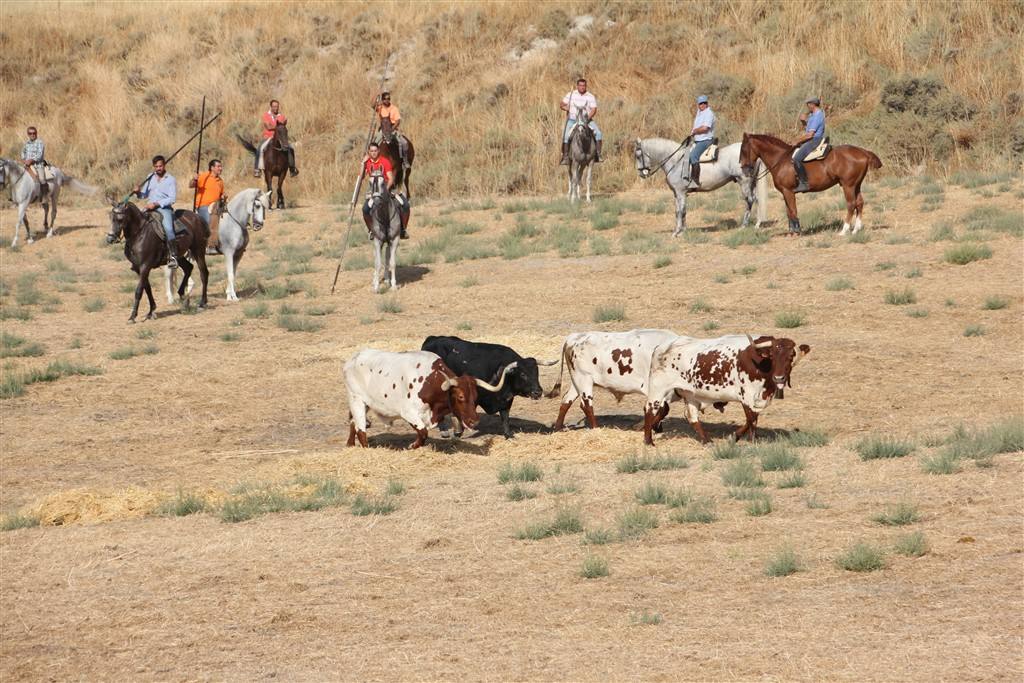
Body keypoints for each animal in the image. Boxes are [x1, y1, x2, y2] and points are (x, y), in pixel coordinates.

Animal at [630, 136, 770, 237]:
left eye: (638, 155)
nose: (641, 174)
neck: (676, 160)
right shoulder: (677, 193)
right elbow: (680, 211)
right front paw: (681, 230)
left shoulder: (680, 192)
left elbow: (681, 211)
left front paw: (677, 232)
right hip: (751, 182)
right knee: (756, 199)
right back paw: (757, 224)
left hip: (744, 182)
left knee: (750, 200)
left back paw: (744, 226)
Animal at [741, 132, 884, 236]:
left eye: (743, 149)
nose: (744, 169)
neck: (781, 159)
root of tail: (863, 152)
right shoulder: (785, 192)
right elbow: (788, 212)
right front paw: (791, 231)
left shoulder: (788, 191)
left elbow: (793, 210)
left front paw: (797, 231)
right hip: (856, 185)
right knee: (859, 203)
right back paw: (856, 229)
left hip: (848, 186)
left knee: (851, 204)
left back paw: (844, 230)